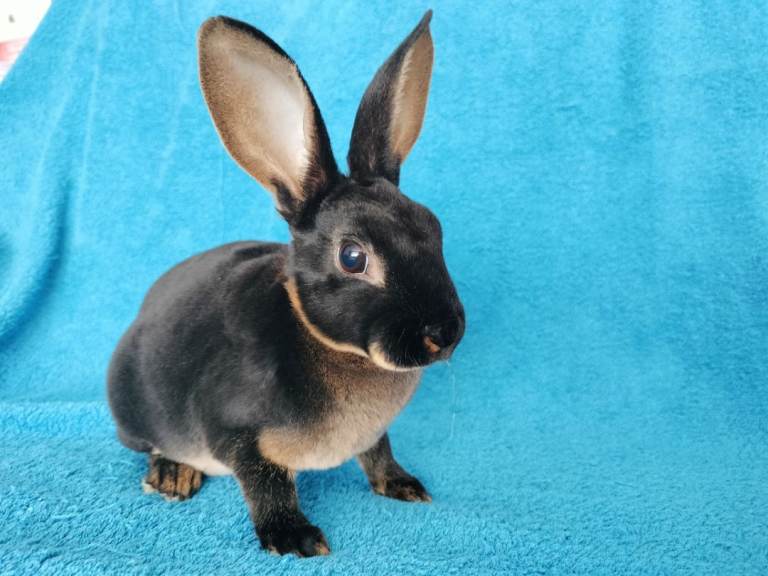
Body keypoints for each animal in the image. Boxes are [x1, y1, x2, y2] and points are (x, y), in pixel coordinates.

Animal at [107, 10, 464, 557]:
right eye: (353, 257)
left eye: (433, 226)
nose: (444, 333)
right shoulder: (236, 432)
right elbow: (265, 484)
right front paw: (294, 537)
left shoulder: (374, 436)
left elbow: (379, 451)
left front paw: (403, 486)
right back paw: (172, 476)